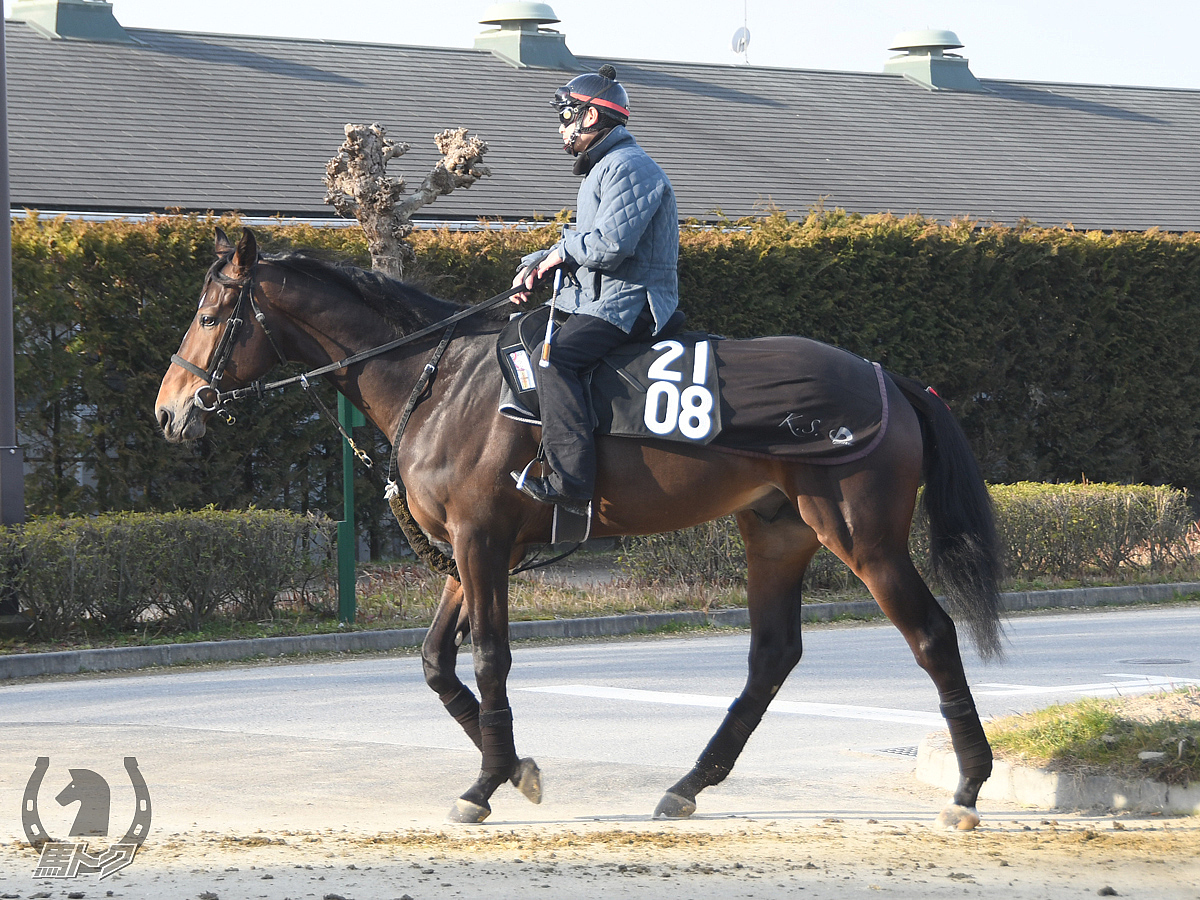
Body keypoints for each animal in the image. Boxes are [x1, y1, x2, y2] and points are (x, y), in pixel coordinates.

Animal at [157, 230, 1003, 830]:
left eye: (210, 314)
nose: (170, 410)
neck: (443, 381)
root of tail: (885, 377)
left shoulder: (482, 542)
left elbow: (490, 659)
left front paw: (485, 783)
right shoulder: (472, 551)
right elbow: (436, 663)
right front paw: (514, 766)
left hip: (863, 538)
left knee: (932, 635)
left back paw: (967, 786)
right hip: (776, 534)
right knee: (772, 656)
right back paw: (688, 785)